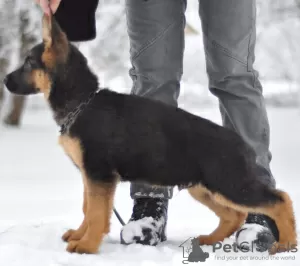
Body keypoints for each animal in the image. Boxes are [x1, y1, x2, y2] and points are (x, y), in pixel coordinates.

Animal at [3, 15, 296, 256]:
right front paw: (78, 234)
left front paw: (86, 245)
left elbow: (97, 213)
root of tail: (242, 144)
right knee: (233, 216)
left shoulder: (99, 174)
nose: (4, 81)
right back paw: (209, 240)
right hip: (205, 188)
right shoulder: (90, 175)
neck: (81, 102)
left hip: (231, 185)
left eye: (28, 63)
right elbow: (88, 207)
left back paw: (286, 243)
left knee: (279, 200)